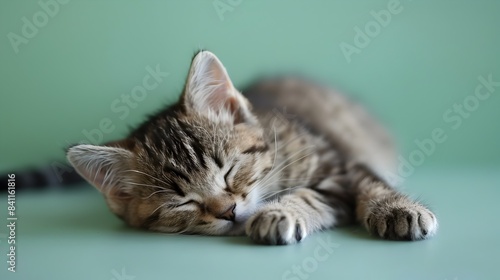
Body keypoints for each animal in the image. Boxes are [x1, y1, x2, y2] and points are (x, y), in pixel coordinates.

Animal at [66, 51, 438, 244]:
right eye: (181, 202)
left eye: (229, 170)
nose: (228, 211)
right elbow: (314, 195)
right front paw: (279, 213)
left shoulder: (339, 162)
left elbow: (367, 183)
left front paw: (398, 208)